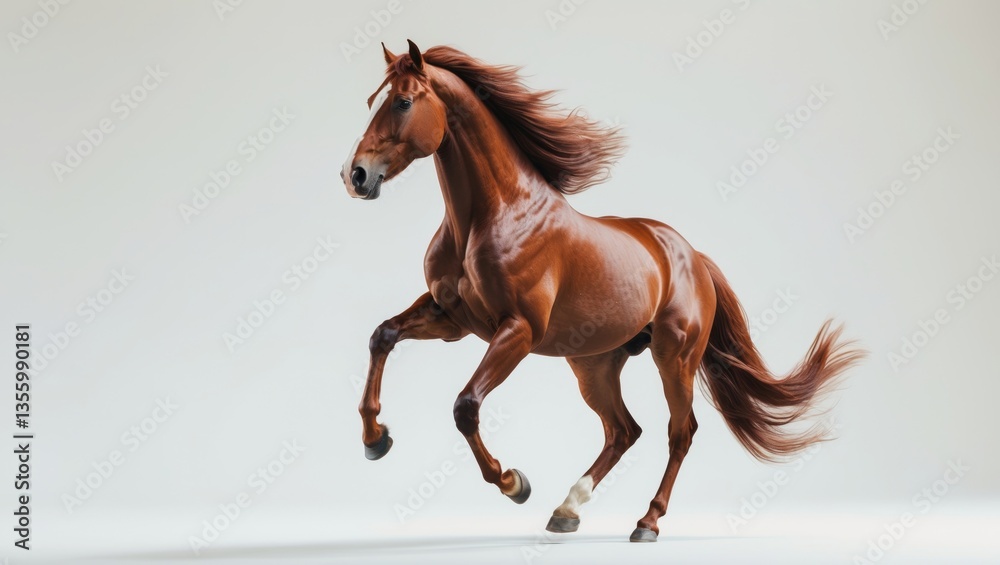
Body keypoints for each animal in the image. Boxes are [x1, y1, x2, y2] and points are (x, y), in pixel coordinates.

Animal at [342, 40, 862, 542]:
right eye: (371, 101)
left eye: (403, 101)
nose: (356, 175)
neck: (491, 216)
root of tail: (693, 256)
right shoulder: (452, 319)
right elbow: (382, 336)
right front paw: (375, 439)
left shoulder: (518, 331)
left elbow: (465, 406)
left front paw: (513, 483)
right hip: (593, 364)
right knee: (623, 430)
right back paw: (566, 510)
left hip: (674, 357)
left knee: (679, 432)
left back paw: (646, 523)